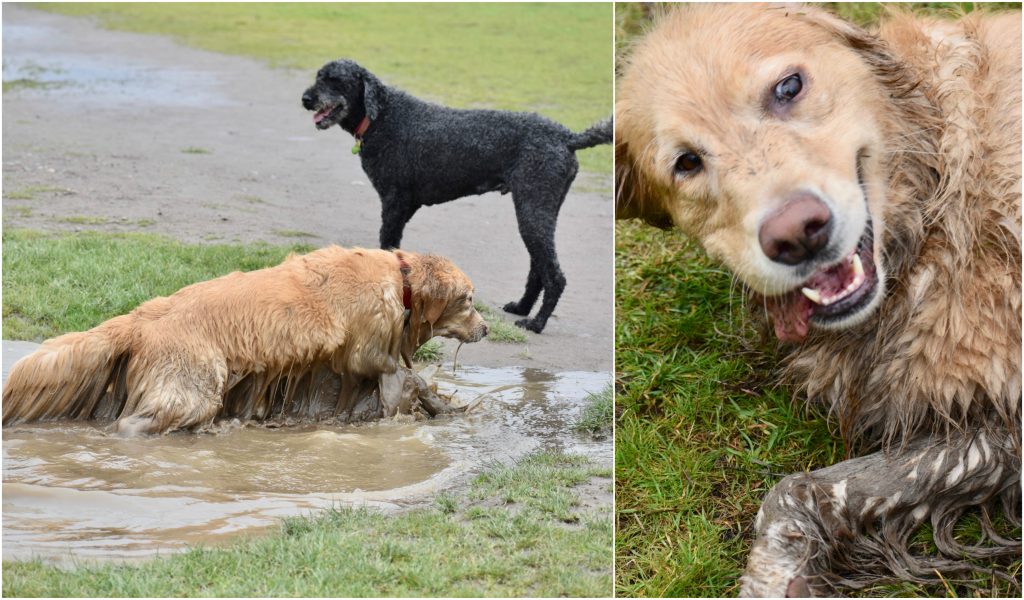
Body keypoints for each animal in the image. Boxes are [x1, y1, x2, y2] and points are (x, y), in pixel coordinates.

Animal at [1, 245, 487, 432]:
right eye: (467, 300)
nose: (484, 327)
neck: (399, 277)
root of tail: (141, 319)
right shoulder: (367, 349)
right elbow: (398, 374)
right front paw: (426, 400)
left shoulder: (335, 366)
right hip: (193, 384)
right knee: (135, 423)